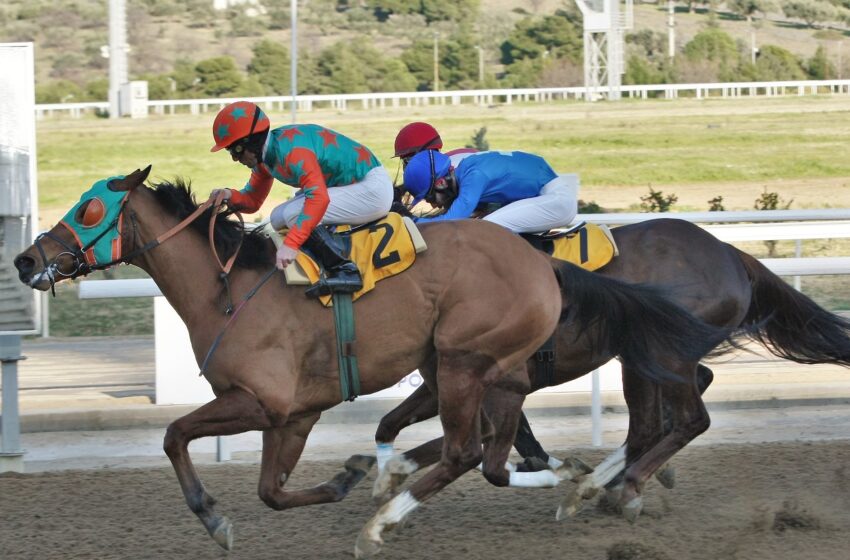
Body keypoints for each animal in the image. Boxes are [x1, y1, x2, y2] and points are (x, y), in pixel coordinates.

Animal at [18, 168, 736, 556]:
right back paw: (578, 478)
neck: (230, 290)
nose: (26, 260)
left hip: (465, 360)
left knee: (473, 452)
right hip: (489, 368)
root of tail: (545, 264)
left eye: (89, 207)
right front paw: (348, 476)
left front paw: (215, 519)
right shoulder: (293, 415)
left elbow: (173, 434)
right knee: (498, 450)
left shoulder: (260, 402)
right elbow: (272, 491)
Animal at [374, 219, 848, 520]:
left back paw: (622, 485)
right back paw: (609, 483)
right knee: (668, 412)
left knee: (682, 420)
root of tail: (730, 253)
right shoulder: (455, 377)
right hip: (649, 359)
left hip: (658, 354)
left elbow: (483, 438)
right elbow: (400, 423)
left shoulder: (483, 377)